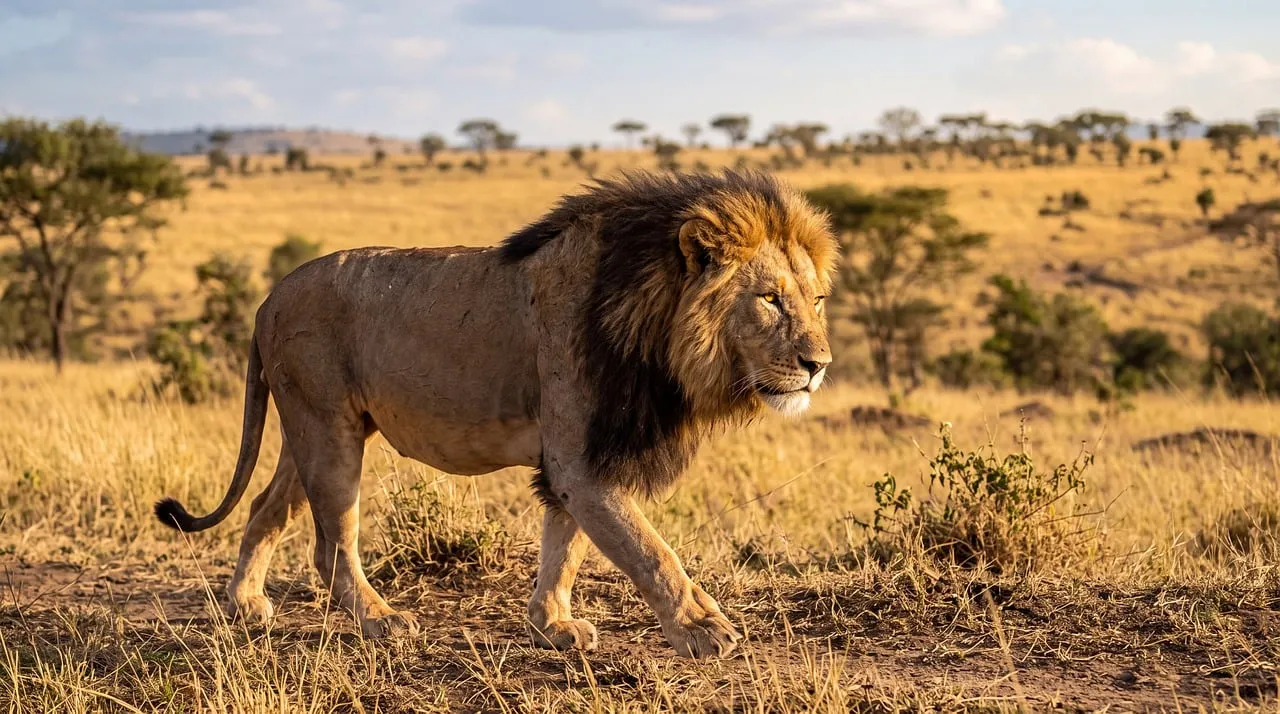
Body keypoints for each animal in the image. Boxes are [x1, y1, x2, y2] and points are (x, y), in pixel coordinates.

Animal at [154, 170, 836, 659]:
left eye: (818, 299)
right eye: (769, 300)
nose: (818, 364)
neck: (652, 319)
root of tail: (268, 298)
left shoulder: (582, 459)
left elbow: (566, 548)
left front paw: (553, 625)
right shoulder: (581, 460)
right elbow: (650, 551)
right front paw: (702, 628)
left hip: (312, 428)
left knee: (264, 507)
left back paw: (244, 604)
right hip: (326, 429)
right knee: (332, 543)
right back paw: (380, 619)